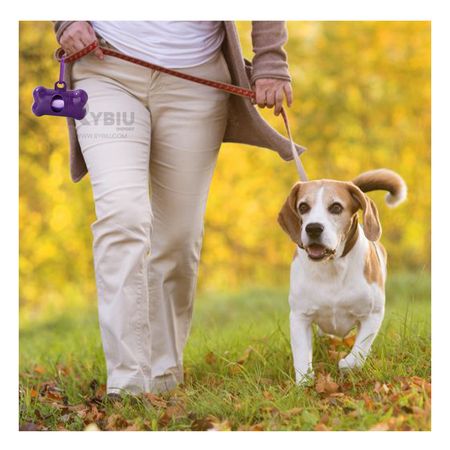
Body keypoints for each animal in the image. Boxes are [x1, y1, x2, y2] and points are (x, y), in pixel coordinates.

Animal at [278, 169, 408, 384]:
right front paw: (304, 382)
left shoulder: (373, 314)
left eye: (336, 207)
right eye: (303, 207)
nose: (313, 228)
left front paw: (346, 364)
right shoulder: (299, 316)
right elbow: (302, 354)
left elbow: (359, 351)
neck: (332, 267)